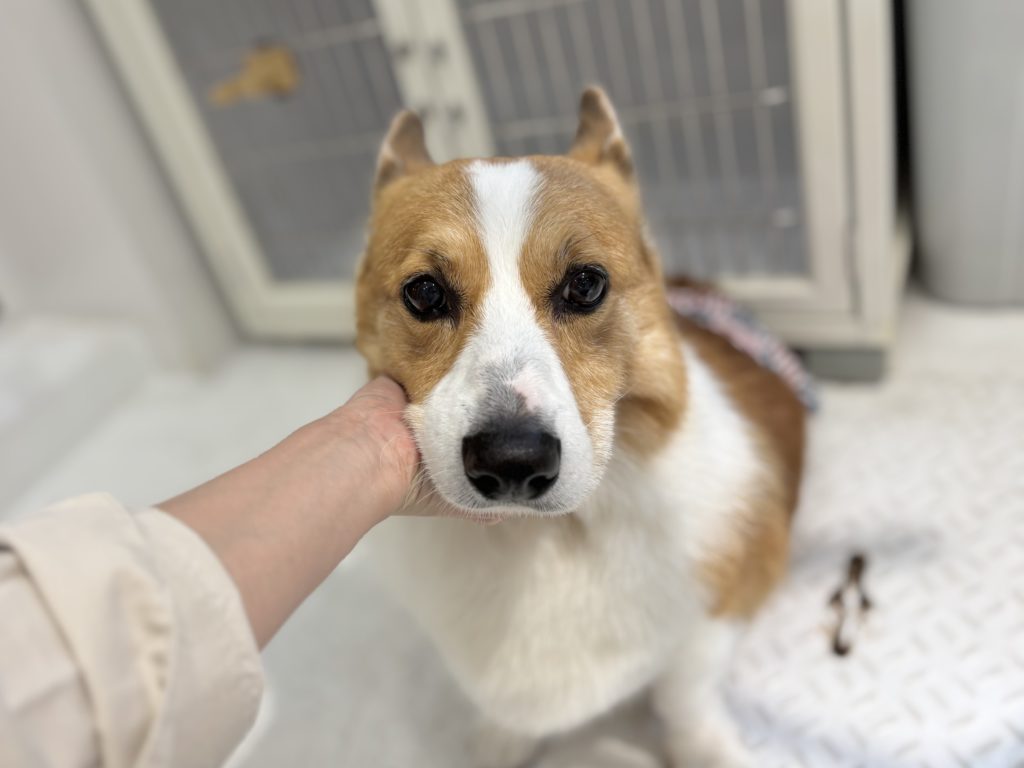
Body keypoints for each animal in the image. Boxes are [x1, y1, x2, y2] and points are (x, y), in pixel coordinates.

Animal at [355, 87, 805, 767]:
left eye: (586, 284)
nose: (513, 460)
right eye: (425, 293)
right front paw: (500, 742)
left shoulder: (719, 604)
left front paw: (707, 750)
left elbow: (685, 694)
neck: (550, 537)